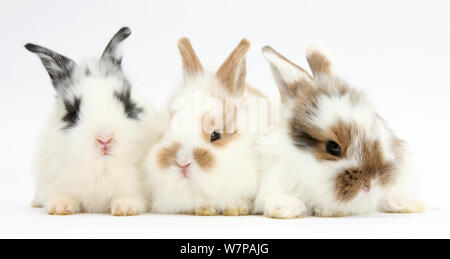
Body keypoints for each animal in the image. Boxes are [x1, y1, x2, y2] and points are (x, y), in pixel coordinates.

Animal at [25, 27, 160, 216]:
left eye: (126, 101)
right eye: (72, 110)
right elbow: (63, 194)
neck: (102, 165)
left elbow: (128, 196)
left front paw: (126, 208)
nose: (104, 138)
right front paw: (61, 207)